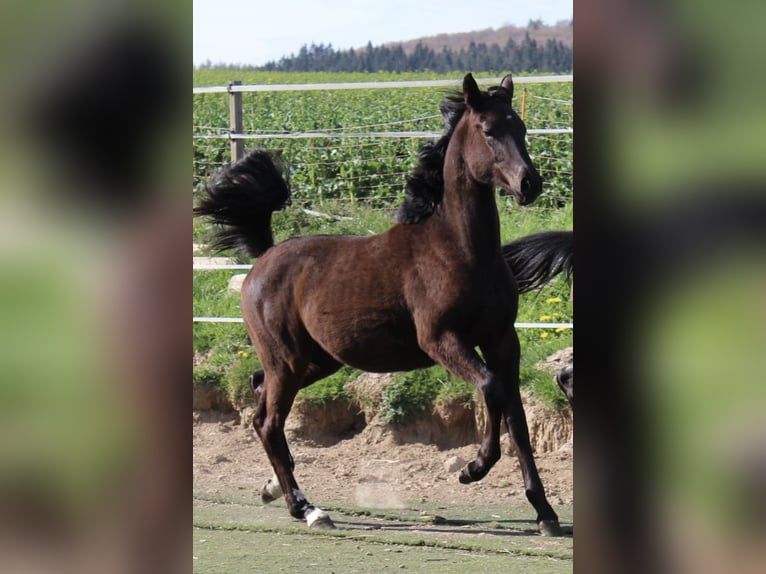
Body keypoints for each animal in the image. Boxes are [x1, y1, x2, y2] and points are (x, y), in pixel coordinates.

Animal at [194, 73, 563, 536]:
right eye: (488, 130)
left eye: (522, 127)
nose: (529, 184)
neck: (459, 249)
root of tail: (265, 255)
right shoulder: (441, 340)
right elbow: (491, 388)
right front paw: (473, 468)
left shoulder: (501, 340)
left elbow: (516, 414)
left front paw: (545, 513)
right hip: (287, 361)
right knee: (268, 421)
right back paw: (306, 508)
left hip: (316, 361)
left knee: (260, 396)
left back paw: (275, 487)